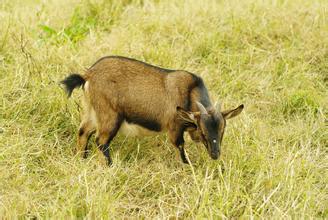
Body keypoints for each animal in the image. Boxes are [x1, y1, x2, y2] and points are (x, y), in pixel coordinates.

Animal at [61, 55, 243, 166]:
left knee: (83, 132)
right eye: (204, 132)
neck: (190, 91)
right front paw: (189, 166)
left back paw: (82, 159)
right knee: (101, 141)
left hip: (93, 111)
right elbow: (180, 147)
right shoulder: (174, 126)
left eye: (222, 130)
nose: (215, 154)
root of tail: (88, 75)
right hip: (110, 115)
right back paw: (109, 166)